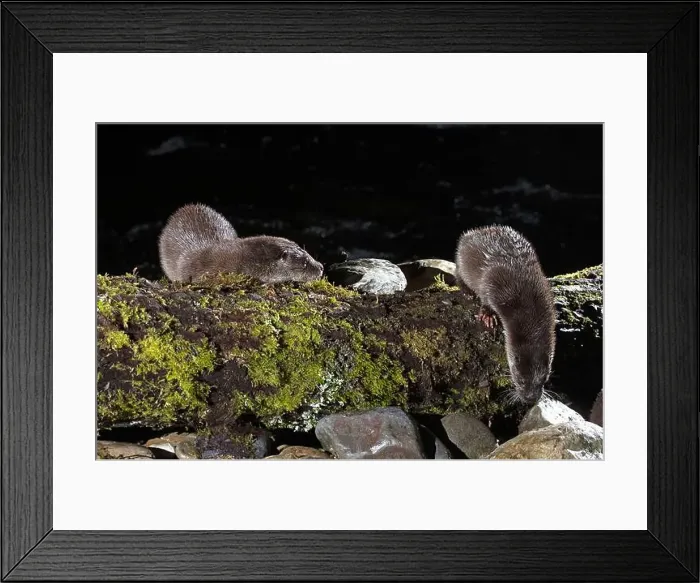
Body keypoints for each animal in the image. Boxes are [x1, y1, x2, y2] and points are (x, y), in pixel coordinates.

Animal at [455, 225, 556, 405]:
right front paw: (487, 315)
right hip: (461, 259)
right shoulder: (495, 283)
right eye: (520, 379)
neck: (529, 304)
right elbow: (485, 296)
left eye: (544, 379)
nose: (530, 398)